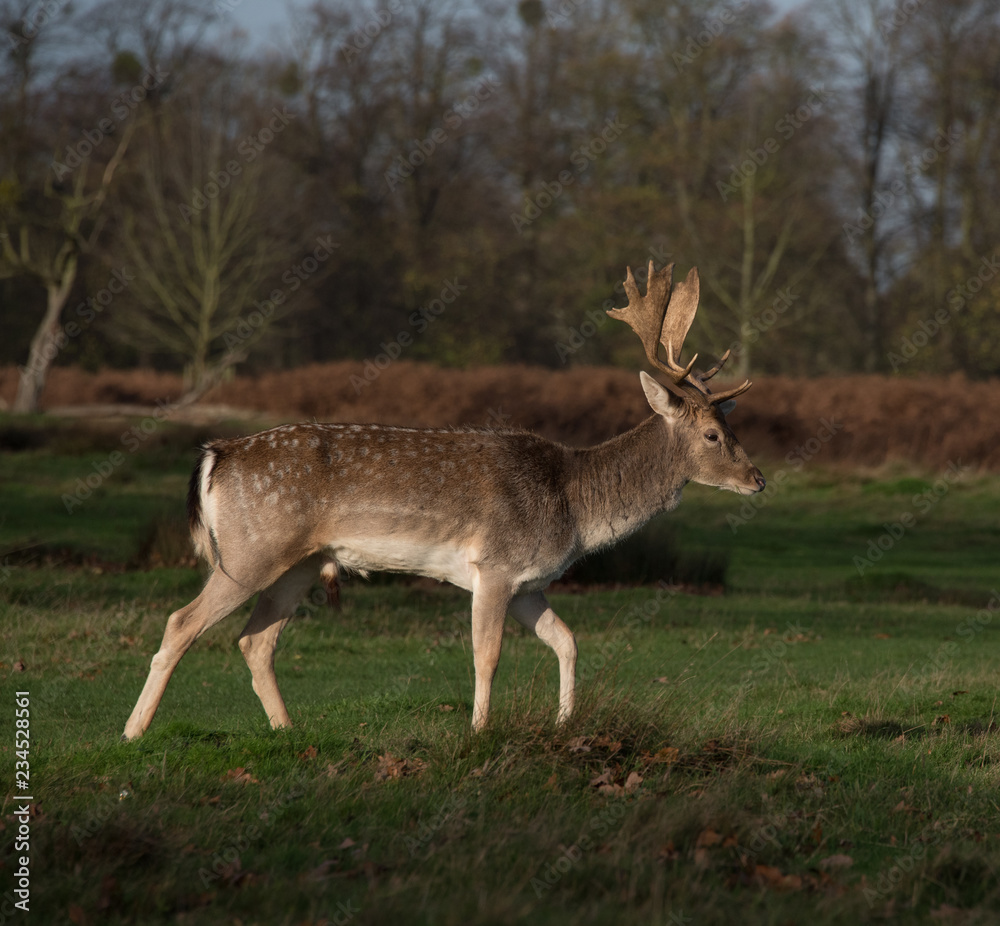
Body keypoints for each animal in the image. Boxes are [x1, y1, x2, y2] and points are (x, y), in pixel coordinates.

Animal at [122, 260, 765, 741]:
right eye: (714, 435)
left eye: (733, 426)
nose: (758, 479)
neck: (572, 507)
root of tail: (215, 455)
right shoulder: (496, 565)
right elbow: (487, 654)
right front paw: (480, 731)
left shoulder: (530, 582)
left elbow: (568, 640)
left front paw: (564, 723)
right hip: (251, 550)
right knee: (182, 623)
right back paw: (133, 732)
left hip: (300, 563)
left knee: (255, 641)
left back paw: (287, 730)